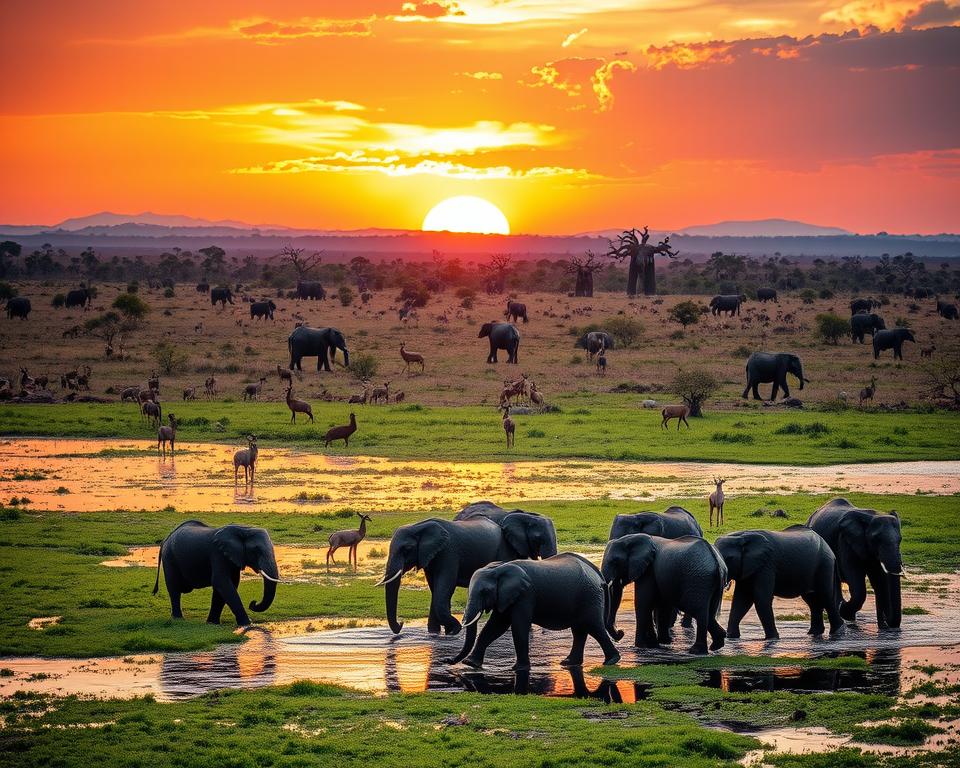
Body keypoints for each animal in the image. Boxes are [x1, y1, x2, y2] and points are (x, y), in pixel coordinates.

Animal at [380, 516, 530, 636]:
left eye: (406, 549)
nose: (401, 624)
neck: (418, 527)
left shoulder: (448, 552)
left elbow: (444, 587)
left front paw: (453, 631)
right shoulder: (430, 556)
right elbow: (435, 588)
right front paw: (435, 633)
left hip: (503, 551)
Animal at [451, 554, 621, 671]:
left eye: (484, 592)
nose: (450, 661)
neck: (498, 568)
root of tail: (598, 575)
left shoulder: (525, 595)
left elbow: (518, 626)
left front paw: (519, 669)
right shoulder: (506, 596)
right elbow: (495, 626)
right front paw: (470, 663)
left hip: (589, 596)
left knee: (594, 626)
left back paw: (611, 661)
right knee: (579, 630)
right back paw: (569, 663)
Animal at [715, 526, 845, 641]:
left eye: (729, 558)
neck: (741, 536)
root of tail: (830, 550)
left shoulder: (766, 565)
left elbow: (760, 599)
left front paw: (772, 638)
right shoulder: (748, 568)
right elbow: (741, 600)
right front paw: (731, 637)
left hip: (824, 564)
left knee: (826, 596)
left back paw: (837, 633)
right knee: (812, 601)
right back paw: (814, 633)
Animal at [807, 498, 904, 629]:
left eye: (900, 540)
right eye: (876, 539)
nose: (886, 623)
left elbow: (879, 580)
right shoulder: (845, 541)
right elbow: (855, 581)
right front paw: (843, 610)